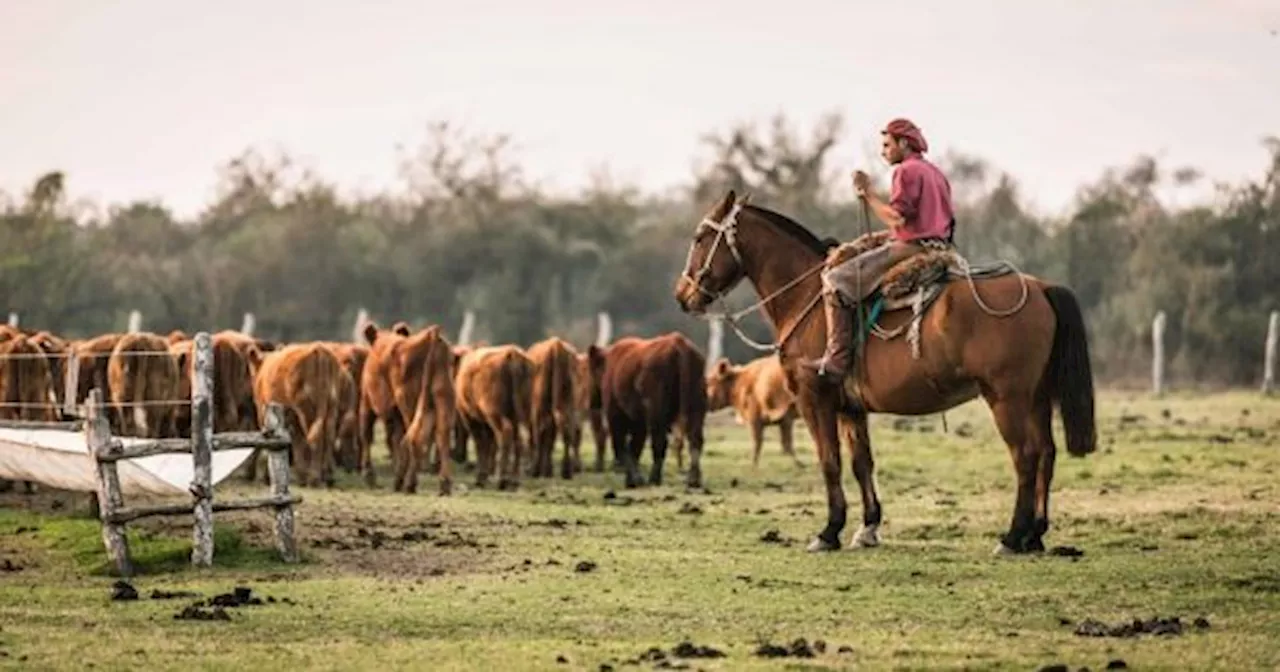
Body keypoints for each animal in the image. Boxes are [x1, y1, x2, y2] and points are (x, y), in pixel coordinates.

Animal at [453, 345, 532, 486]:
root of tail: (511, 353)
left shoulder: (470, 418)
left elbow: (481, 443)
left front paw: (481, 476)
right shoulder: (485, 423)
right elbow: (489, 443)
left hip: (494, 414)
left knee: (505, 433)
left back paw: (502, 479)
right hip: (520, 415)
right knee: (520, 439)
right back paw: (514, 479)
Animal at [524, 337, 581, 478]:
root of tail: (556, 345)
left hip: (540, 405)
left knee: (542, 428)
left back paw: (536, 469)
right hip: (568, 400)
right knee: (566, 427)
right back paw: (566, 470)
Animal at [588, 330, 711, 483]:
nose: (592, 401)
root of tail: (678, 344)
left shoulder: (616, 414)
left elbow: (623, 445)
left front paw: (633, 479)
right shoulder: (639, 421)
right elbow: (635, 447)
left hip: (656, 412)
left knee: (659, 441)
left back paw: (654, 478)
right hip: (696, 407)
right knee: (695, 439)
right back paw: (693, 480)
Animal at [675, 189, 1095, 555]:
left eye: (699, 237)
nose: (683, 295)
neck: (808, 297)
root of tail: (1041, 288)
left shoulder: (815, 400)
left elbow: (830, 462)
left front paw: (829, 531)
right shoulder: (851, 408)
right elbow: (862, 463)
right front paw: (868, 527)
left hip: (1007, 398)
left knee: (1025, 455)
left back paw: (1012, 536)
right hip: (1037, 397)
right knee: (1047, 452)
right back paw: (1035, 535)